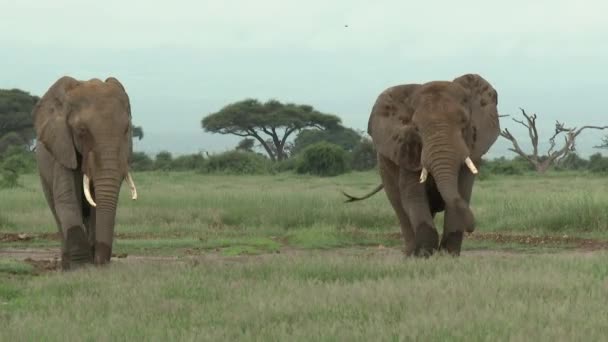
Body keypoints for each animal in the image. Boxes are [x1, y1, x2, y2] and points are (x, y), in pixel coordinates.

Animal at [33, 75, 138, 270]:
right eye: (82, 130)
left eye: (126, 129)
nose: (100, 263)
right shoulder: (62, 147)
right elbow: (67, 198)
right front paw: (82, 267)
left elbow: (97, 204)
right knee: (56, 210)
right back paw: (67, 265)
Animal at [344, 74, 502, 256]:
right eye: (416, 128)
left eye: (464, 122)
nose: (472, 228)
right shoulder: (408, 150)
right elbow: (413, 196)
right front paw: (424, 256)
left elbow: (462, 191)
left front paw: (448, 256)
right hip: (384, 166)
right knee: (400, 208)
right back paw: (410, 254)